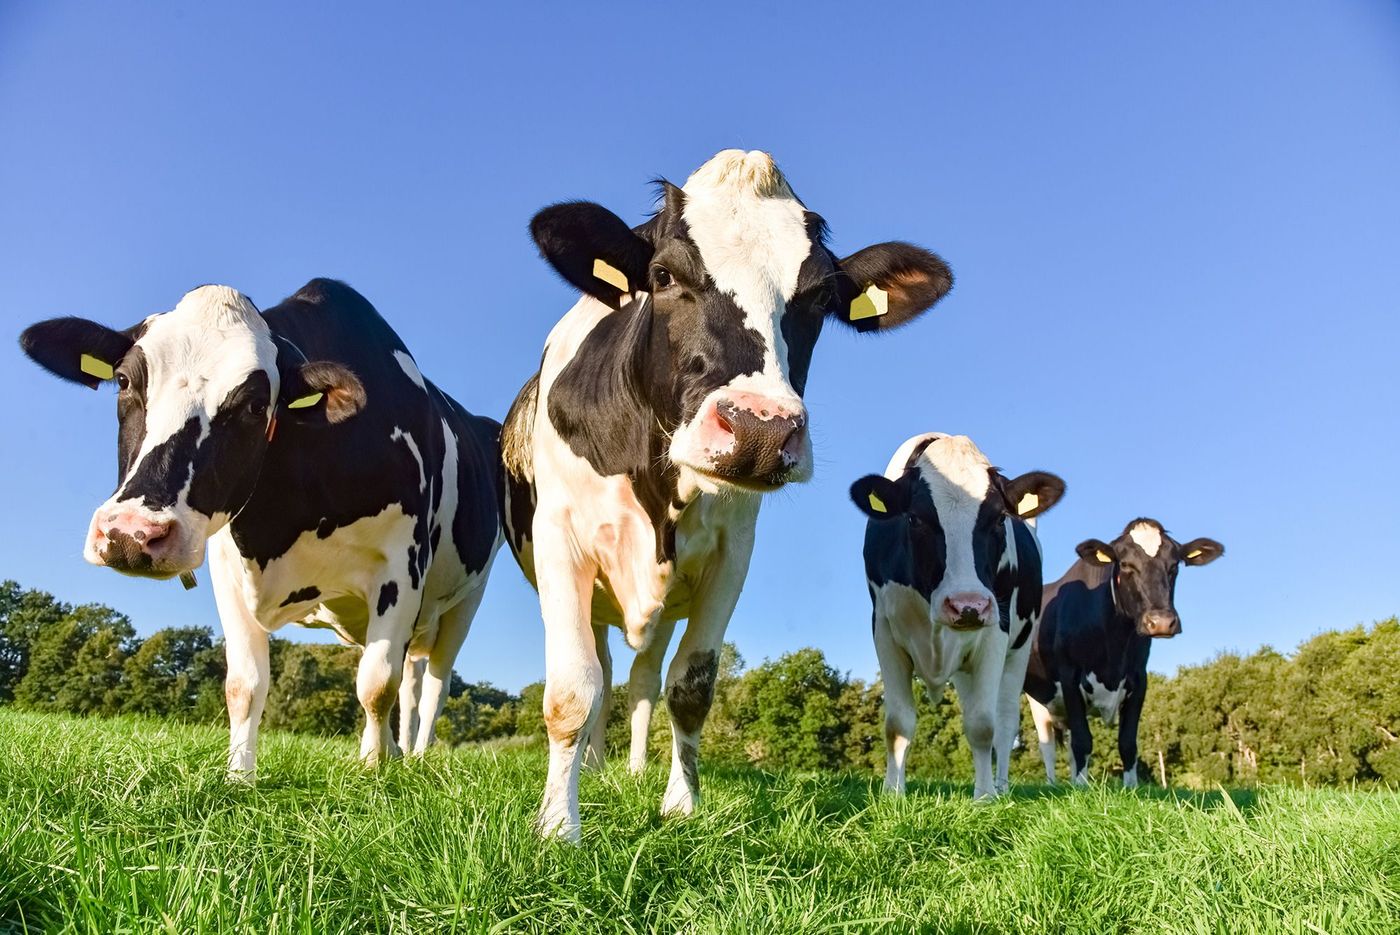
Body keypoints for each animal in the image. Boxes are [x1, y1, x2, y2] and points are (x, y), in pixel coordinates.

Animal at [19, 279, 502, 773]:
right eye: (123, 381)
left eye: (255, 405)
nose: (131, 534)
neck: (282, 522)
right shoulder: (227, 569)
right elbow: (244, 686)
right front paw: (240, 776)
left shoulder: (401, 566)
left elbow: (376, 684)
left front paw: (371, 771)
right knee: (412, 682)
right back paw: (400, 752)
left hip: (466, 600)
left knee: (434, 685)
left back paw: (416, 756)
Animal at [501, 149, 954, 840]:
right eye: (662, 274)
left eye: (821, 296)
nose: (760, 429)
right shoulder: (559, 540)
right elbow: (573, 689)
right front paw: (557, 826)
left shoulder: (731, 556)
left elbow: (689, 687)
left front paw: (679, 805)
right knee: (602, 670)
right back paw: (597, 769)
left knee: (640, 680)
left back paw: (630, 771)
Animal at [849, 433, 1065, 798]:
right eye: (915, 518)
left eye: (999, 519)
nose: (968, 604)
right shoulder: (884, 630)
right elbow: (898, 723)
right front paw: (893, 792)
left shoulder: (996, 631)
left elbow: (982, 724)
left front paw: (985, 796)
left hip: (1019, 649)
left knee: (1005, 720)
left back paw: (1001, 786)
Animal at [1024, 518, 1224, 786]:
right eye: (1126, 564)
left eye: (1174, 566)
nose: (1161, 622)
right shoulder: (1069, 677)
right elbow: (1083, 741)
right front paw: (1081, 789)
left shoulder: (1138, 679)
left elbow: (1127, 743)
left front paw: (1131, 788)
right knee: (1046, 745)